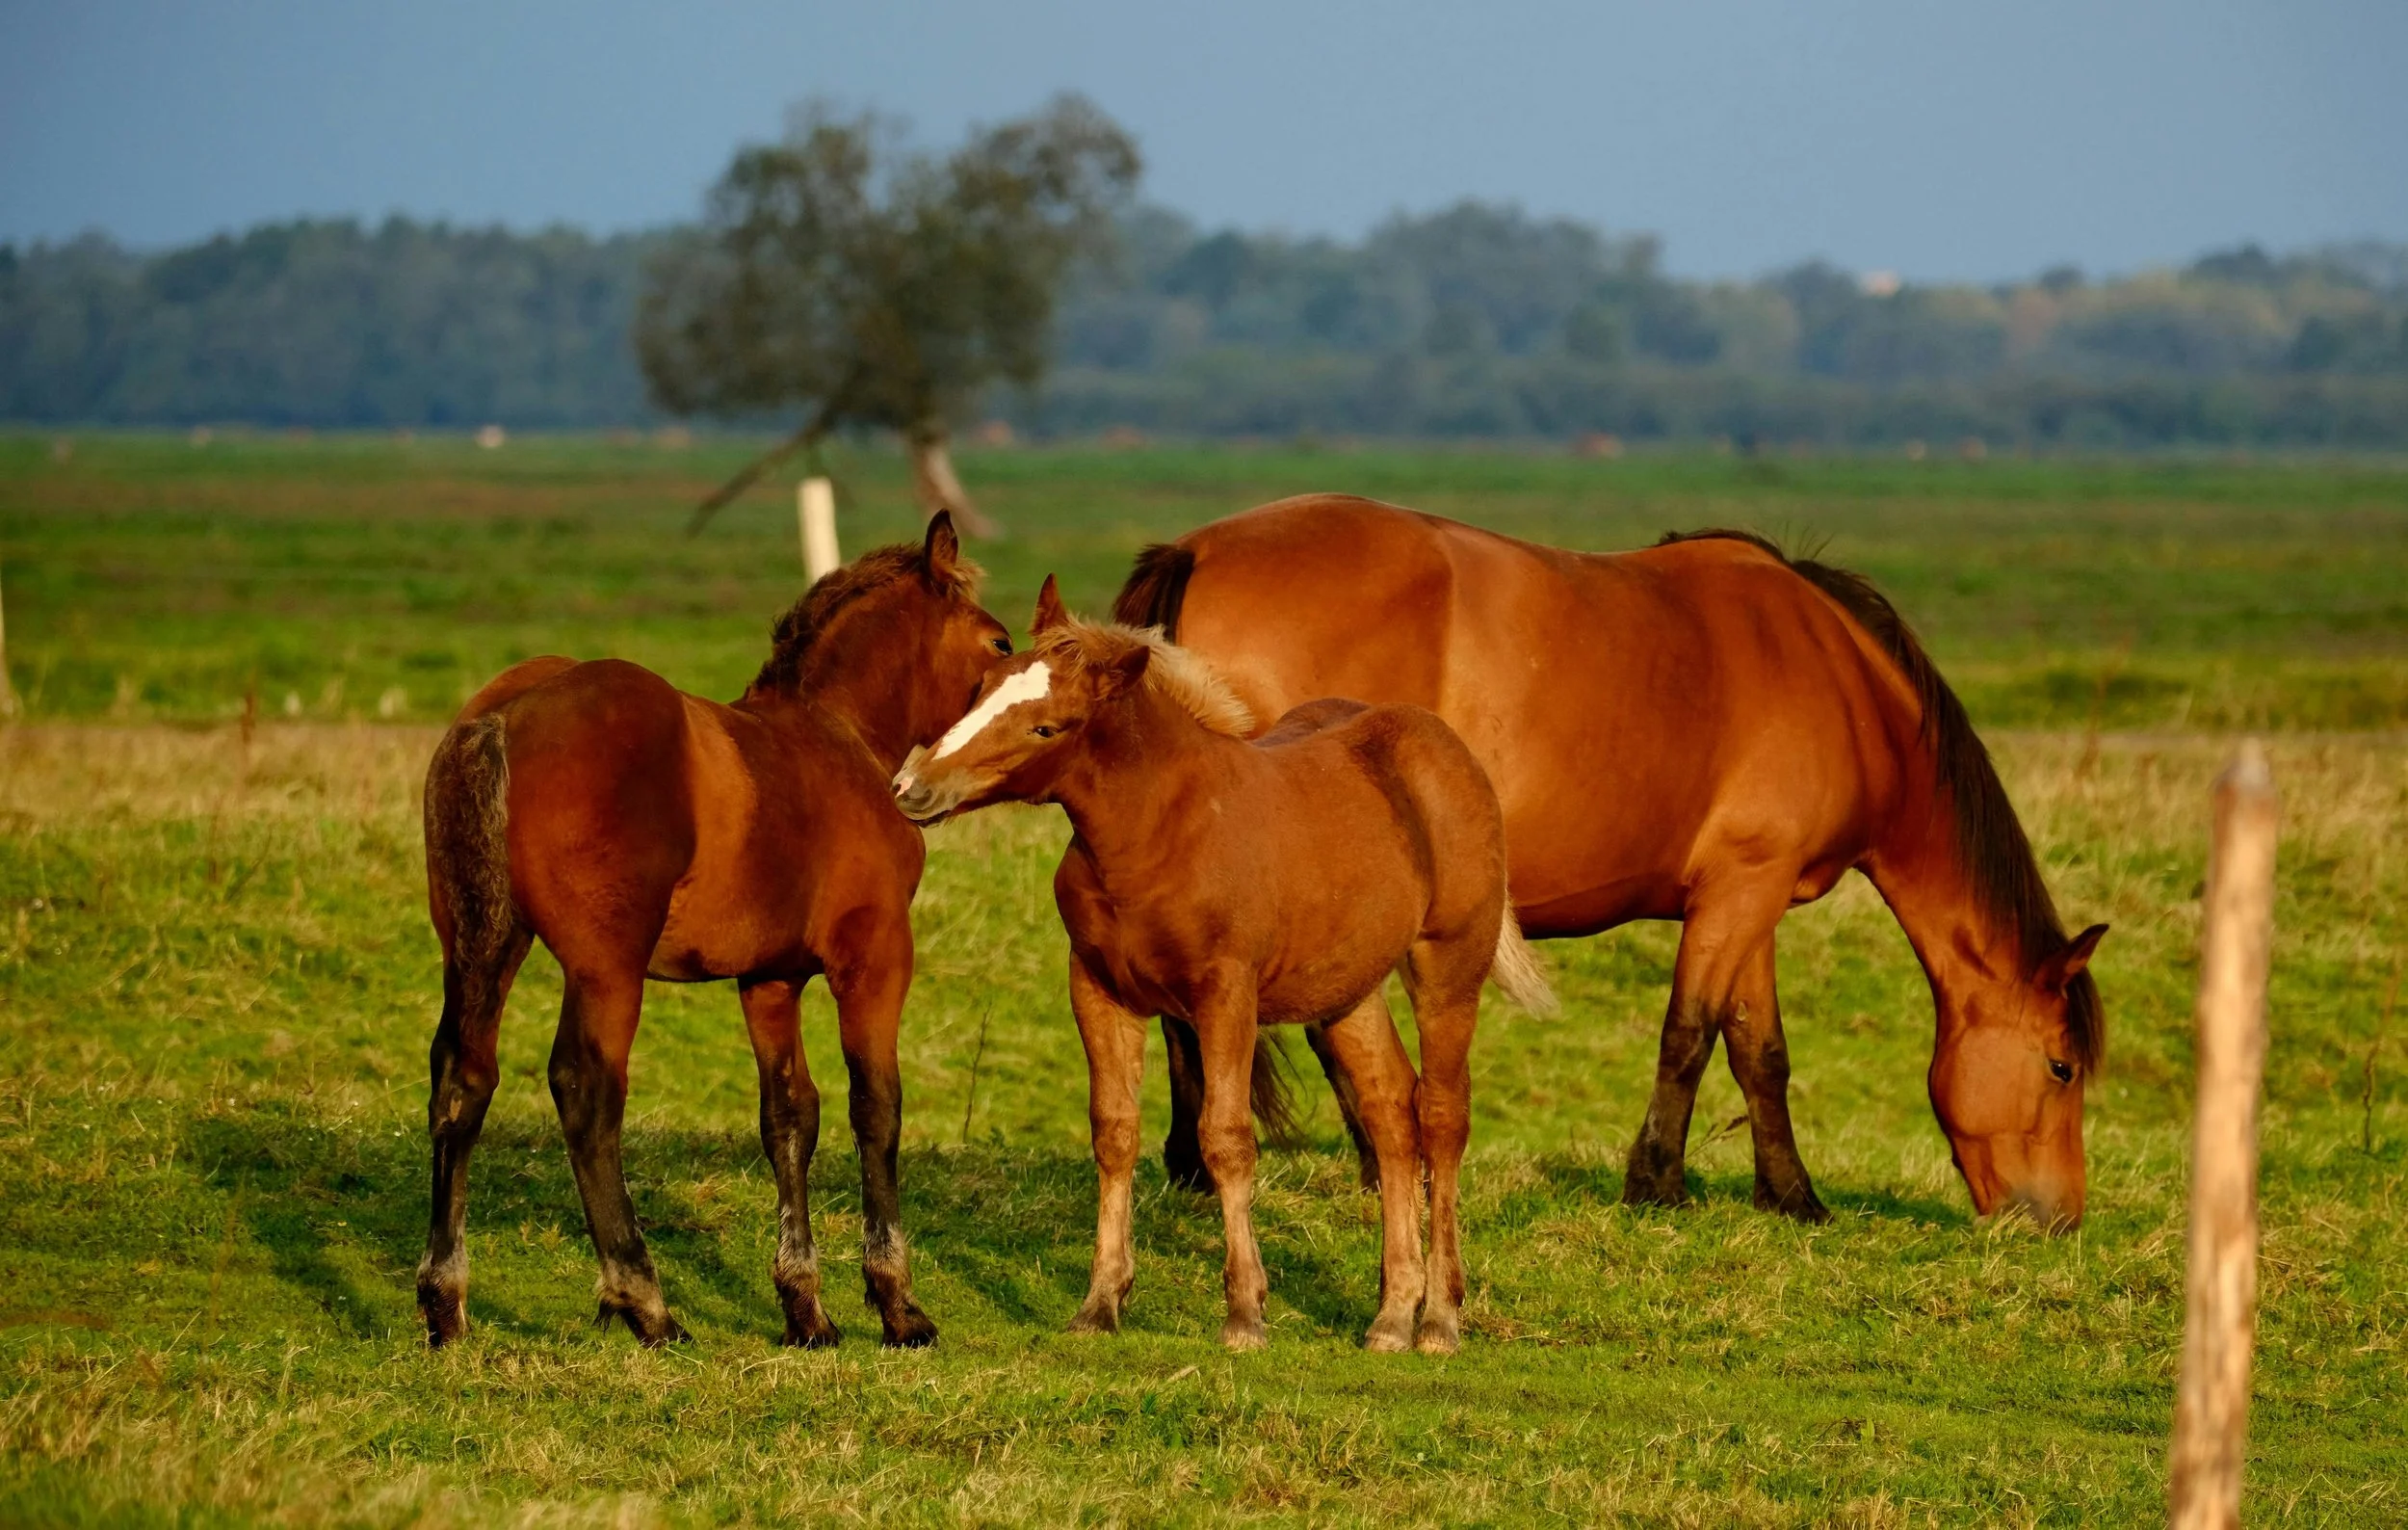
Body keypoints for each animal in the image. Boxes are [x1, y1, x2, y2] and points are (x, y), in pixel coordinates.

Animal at [416, 512, 1012, 1349]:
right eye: (998, 643)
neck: (838, 740)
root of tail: (506, 714)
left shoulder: (770, 979)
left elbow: (789, 1117)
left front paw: (805, 1308)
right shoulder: (874, 961)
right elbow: (876, 1108)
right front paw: (897, 1303)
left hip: (484, 947)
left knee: (462, 1081)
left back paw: (445, 1299)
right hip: (605, 969)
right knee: (587, 1093)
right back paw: (644, 1300)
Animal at [890, 579, 1553, 1352]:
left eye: (1047, 728)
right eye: (981, 687)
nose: (912, 786)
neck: (1158, 834)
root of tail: (1445, 746)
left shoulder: (1225, 995)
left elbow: (1226, 1138)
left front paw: (1245, 1312)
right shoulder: (1098, 990)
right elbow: (1114, 1132)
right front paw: (1100, 1302)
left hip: (1448, 967)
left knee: (1442, 1117)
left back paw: (1441, 1318)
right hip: (1347, 993)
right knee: (1392, 1114)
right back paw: (1392, 1315)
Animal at [1115, 495, 2107, 1230]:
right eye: (2061, 1067)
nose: (2057, 1218)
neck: (1841, 681)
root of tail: (1200, 549)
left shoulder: (1748, 897)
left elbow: (1759, 1051)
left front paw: (1791, 1197)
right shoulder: (1742, 892)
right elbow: (1689, 1035)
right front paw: (1657, 1185)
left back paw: (1205, 1165)